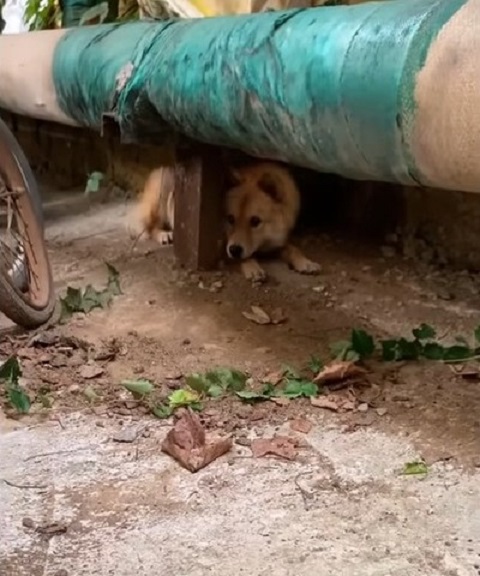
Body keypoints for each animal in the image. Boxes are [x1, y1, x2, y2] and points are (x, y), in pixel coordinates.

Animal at [129, 161, 320, 282]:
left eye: (255, 221)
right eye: (230, 219)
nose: (234, 250)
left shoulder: (278, 241)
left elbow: (292, 248)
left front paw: (305, 262)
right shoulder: (219, 243)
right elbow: (245, 257)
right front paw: (252, 268)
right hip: (162, 194)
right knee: (150, 227)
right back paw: (164, 234)